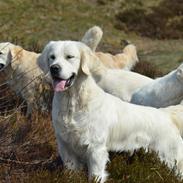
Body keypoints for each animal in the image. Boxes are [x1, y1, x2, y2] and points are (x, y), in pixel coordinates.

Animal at [37, 40, 183, 183]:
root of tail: (166, 114)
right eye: (52, 57)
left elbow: (95, 175)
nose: (54, 68)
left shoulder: (95, 148)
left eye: (70, 57)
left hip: (172, 158)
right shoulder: (65, 147)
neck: (72, 103)